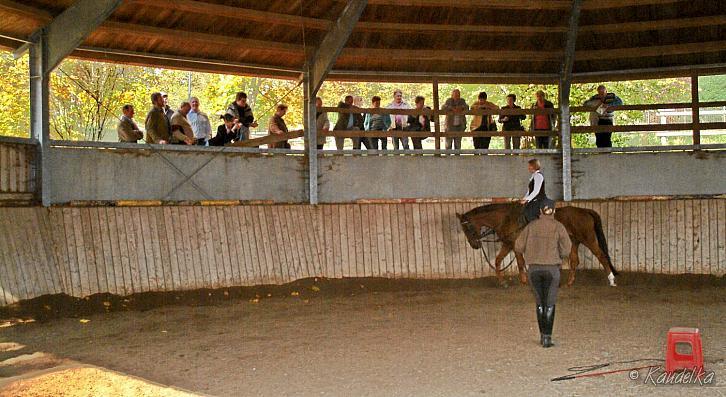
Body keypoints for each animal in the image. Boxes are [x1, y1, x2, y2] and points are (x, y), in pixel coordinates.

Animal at [458, 203, 616, 286]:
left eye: (467, 228)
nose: (474, 245)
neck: (506, 219)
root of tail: (584, 210)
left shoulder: (515, 245)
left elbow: (520, 263)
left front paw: (524, 281)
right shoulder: (508, 244)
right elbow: (498, 261)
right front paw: (502, 282)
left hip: (588, 239)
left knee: (601, 256)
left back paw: (611, 280)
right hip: (574, 242)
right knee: (574, 261)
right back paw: (569, 282)